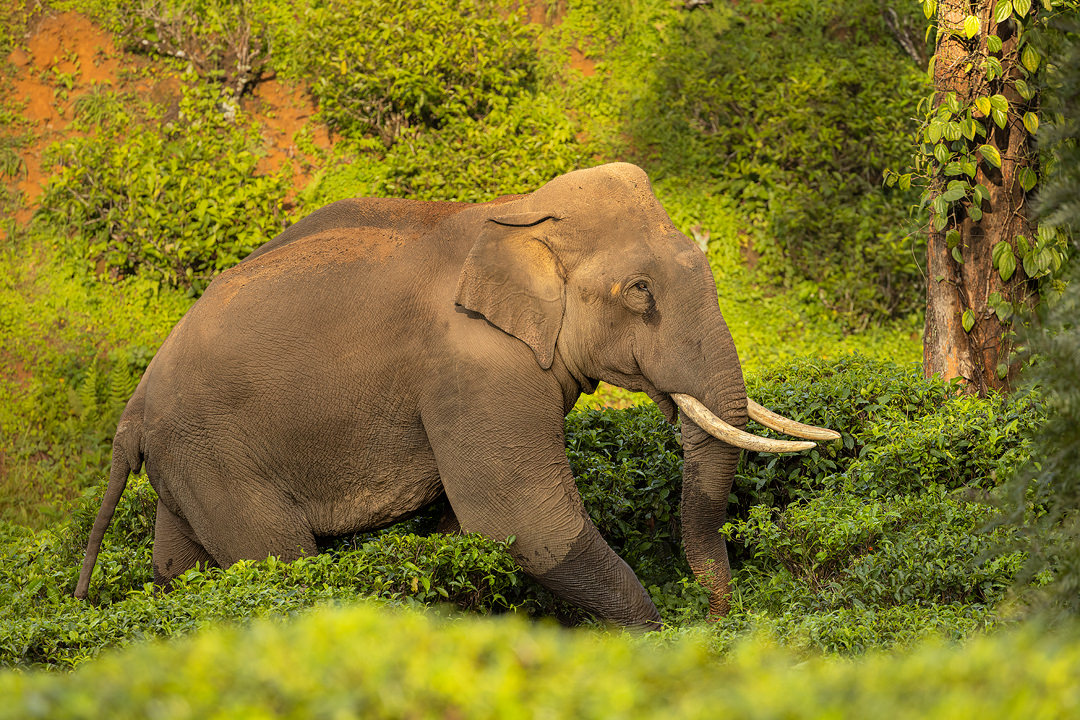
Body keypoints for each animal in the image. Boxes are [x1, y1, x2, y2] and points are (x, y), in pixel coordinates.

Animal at [76, 161, 838, 626]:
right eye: (640, 292)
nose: (715, 620)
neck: (521, 213)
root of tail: (132, 408)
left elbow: (464, 528)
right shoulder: (476, 368)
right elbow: (522, 522)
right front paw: (649, 643)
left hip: (187, 462)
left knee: (179, 567)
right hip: (218, 456)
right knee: (277, 564)